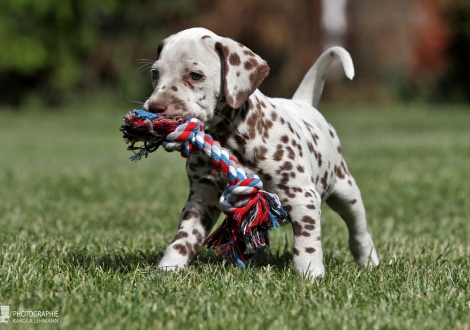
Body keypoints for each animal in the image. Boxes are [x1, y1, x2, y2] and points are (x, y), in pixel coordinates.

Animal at [145, 27, 380, 278]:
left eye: (195, 75)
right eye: (155, 74)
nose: (154, 108)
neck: (230, 139)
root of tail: (303, 103)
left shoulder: (303, 198)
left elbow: (306, 243)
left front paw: (310, 275)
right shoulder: (201, 200)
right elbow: (183, 239)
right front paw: (167, 269)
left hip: (346, 192)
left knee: (359, 231)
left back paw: (368, 260)